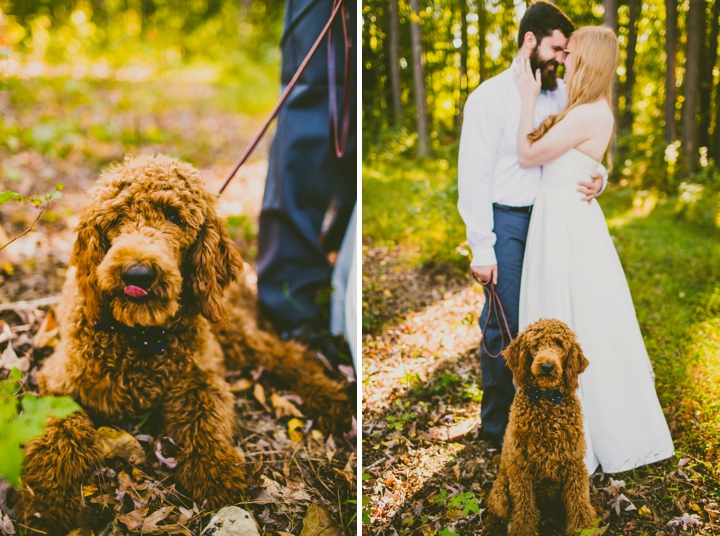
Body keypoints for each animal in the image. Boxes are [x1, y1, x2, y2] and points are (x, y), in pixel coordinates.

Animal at [16, 153, 352, 532]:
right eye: (116, 219)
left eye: (174, 217)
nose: (137, 274)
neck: (141, 335)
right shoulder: (60, 380)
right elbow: (60, 430)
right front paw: (47, 500)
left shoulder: (200, 374)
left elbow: (205, 418)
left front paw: (216, 473)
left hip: (232, 334)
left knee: (287, 356)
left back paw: (332, 400)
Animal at [484, 318, 596, 536]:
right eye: (535, 344)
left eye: (559, 344)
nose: (546, 366)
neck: (546, 398)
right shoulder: (520, 467)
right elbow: (524, 507)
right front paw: (522, 530)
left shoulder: (574, 462)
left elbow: (578, 501)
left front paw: (582, 528)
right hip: (501, 491)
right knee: (495, 510)